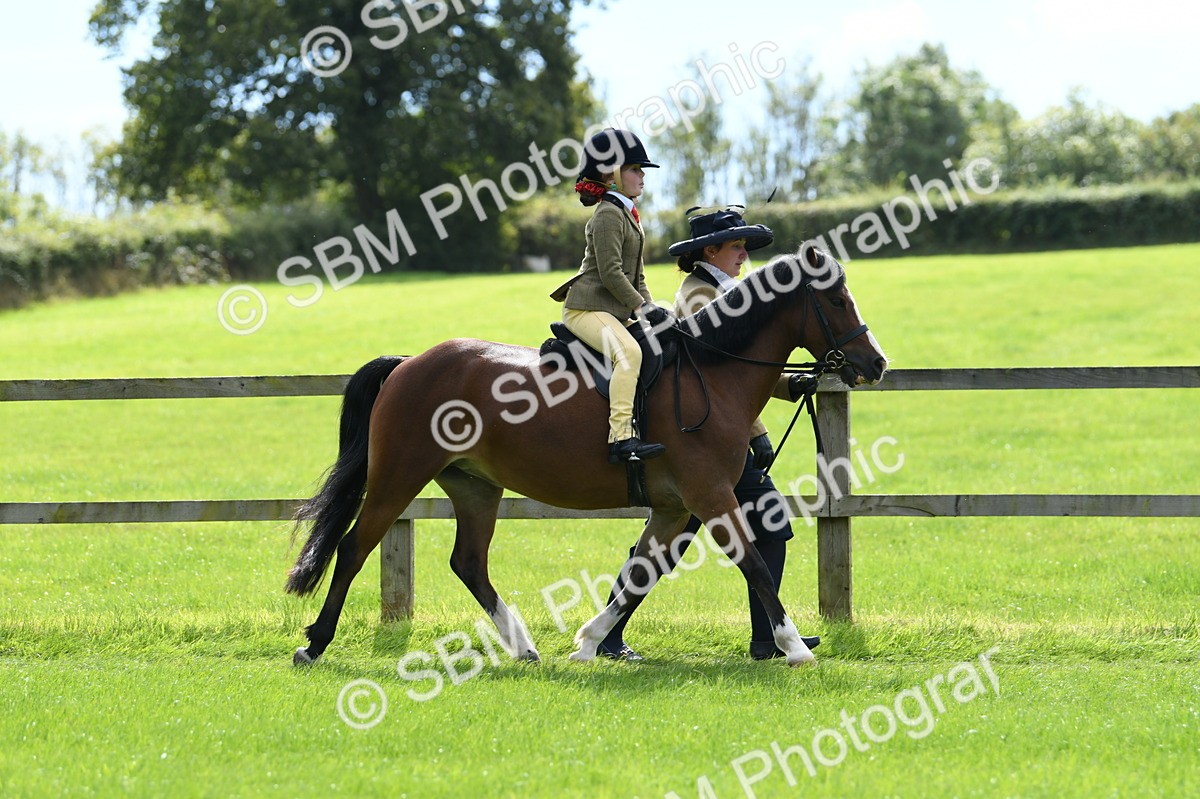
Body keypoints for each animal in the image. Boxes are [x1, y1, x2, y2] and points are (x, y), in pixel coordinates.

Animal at [286, 242, 887, 667]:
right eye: (837, 300)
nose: (876, 363)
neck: (710, 373)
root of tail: (409, 363)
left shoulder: (674, 508)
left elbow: (642, 572)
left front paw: (589, 642)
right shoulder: (712, 497)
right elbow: (756, 565)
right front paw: (795, 647)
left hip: (475, 486)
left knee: (469, 563)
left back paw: (523, 645)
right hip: (399, 476)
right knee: (352, 547)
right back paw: (314, 644)